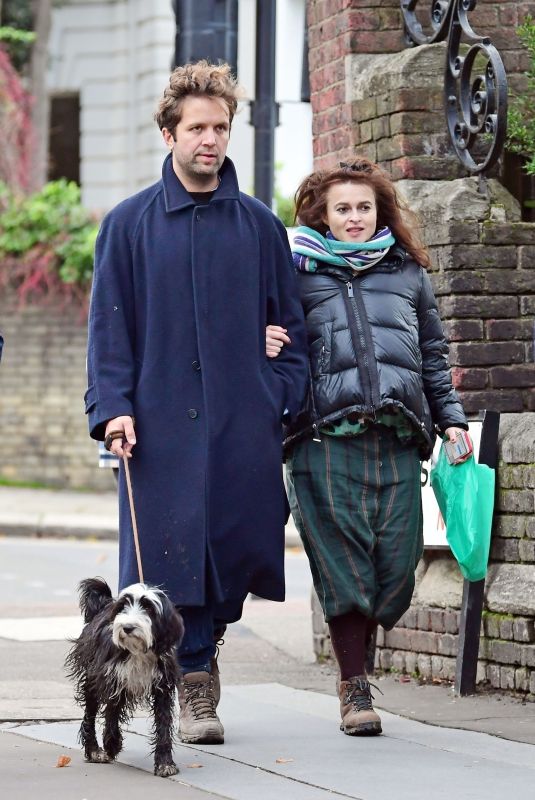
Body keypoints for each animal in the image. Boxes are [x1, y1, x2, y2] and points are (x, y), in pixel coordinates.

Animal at [65, 580, 184, 780]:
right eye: (123, 607)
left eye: (148, 608)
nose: (127, 627)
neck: (138, 651)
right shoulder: (112, 679)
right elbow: (111, 713)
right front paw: (111, 744)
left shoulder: (162, 686)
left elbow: (163, 722)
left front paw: (165, 762)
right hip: (94, 678)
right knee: (91, 713)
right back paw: (94, 749)